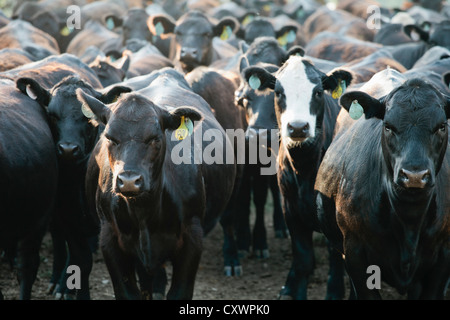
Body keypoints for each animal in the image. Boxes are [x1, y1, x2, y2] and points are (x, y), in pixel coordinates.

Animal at [77, 69, 237, 298]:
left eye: (154, 138)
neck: (144, 212)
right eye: (110, 137)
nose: (129, 181)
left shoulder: (192, 239)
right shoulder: (109, 239)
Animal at [244, 53, 354, 298]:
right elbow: (302, 259)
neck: (305, 169)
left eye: (318, 92)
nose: (297, 127)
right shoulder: (291, 210)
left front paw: (334, 291)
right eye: (278, 92)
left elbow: (336, 256)